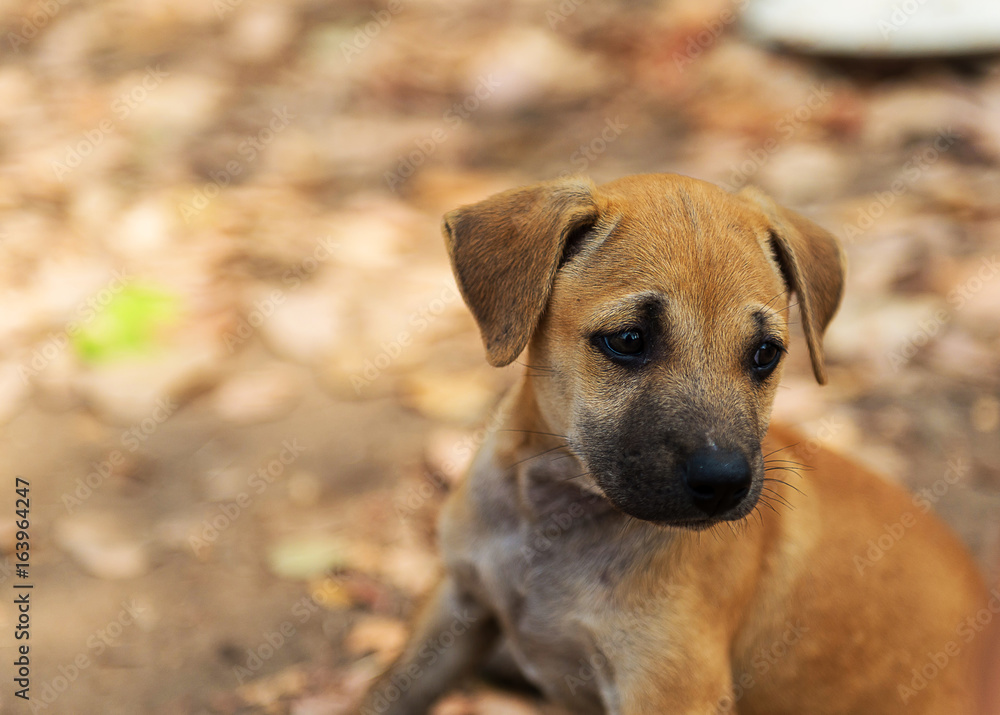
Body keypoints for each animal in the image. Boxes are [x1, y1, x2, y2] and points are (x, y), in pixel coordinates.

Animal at [358, 175, 984, 715]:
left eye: (766, 354)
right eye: (629, 340)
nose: (725, 482)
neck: (556, 518)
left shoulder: (670, 689)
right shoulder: (455, 607)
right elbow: (388, 695)